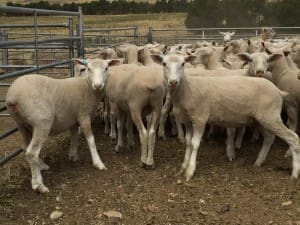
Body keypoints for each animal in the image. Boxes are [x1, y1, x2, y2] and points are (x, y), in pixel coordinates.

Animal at [5, 58, 119, 193]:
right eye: (88, 69)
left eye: (106, 68)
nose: (98, 85)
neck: (87, 87)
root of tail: (13, 96)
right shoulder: (83, 115)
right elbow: (91, 140)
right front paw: (98, 163)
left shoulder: (73, 120)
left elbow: (74, 137)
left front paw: (73, 156)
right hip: (42, 122)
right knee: (31, 152)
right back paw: (38, 184)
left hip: (21, 124)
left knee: (25, 146)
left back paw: (41, 165)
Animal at [151, 53, 300, 181]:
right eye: (164, 64)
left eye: (183, 64)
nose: (173, 81)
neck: (187, 89)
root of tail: (278, 91)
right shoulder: (188, 121)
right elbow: (188, 142)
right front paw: (183, 166)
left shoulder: (200, 119)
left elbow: (194, 144)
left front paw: (190, 171)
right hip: (260, 119)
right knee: (269, 138)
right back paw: (258, 162)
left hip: (271, 116)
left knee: (293, 138)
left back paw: (294, 173)